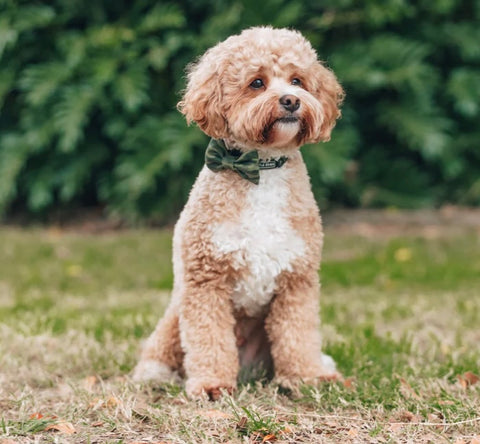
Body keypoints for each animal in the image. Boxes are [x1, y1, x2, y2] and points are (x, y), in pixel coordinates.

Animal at [132, 26, 344, 400]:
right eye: (257, 83)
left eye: (298, 80)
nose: (291, 100)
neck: (261, 168)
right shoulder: (206, 279)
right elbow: (209, 338)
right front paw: (212, 384)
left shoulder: (297, 280)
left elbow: (298, 335)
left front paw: (306, 377)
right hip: (175, 313)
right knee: (162, 349)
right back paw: (155, 374)